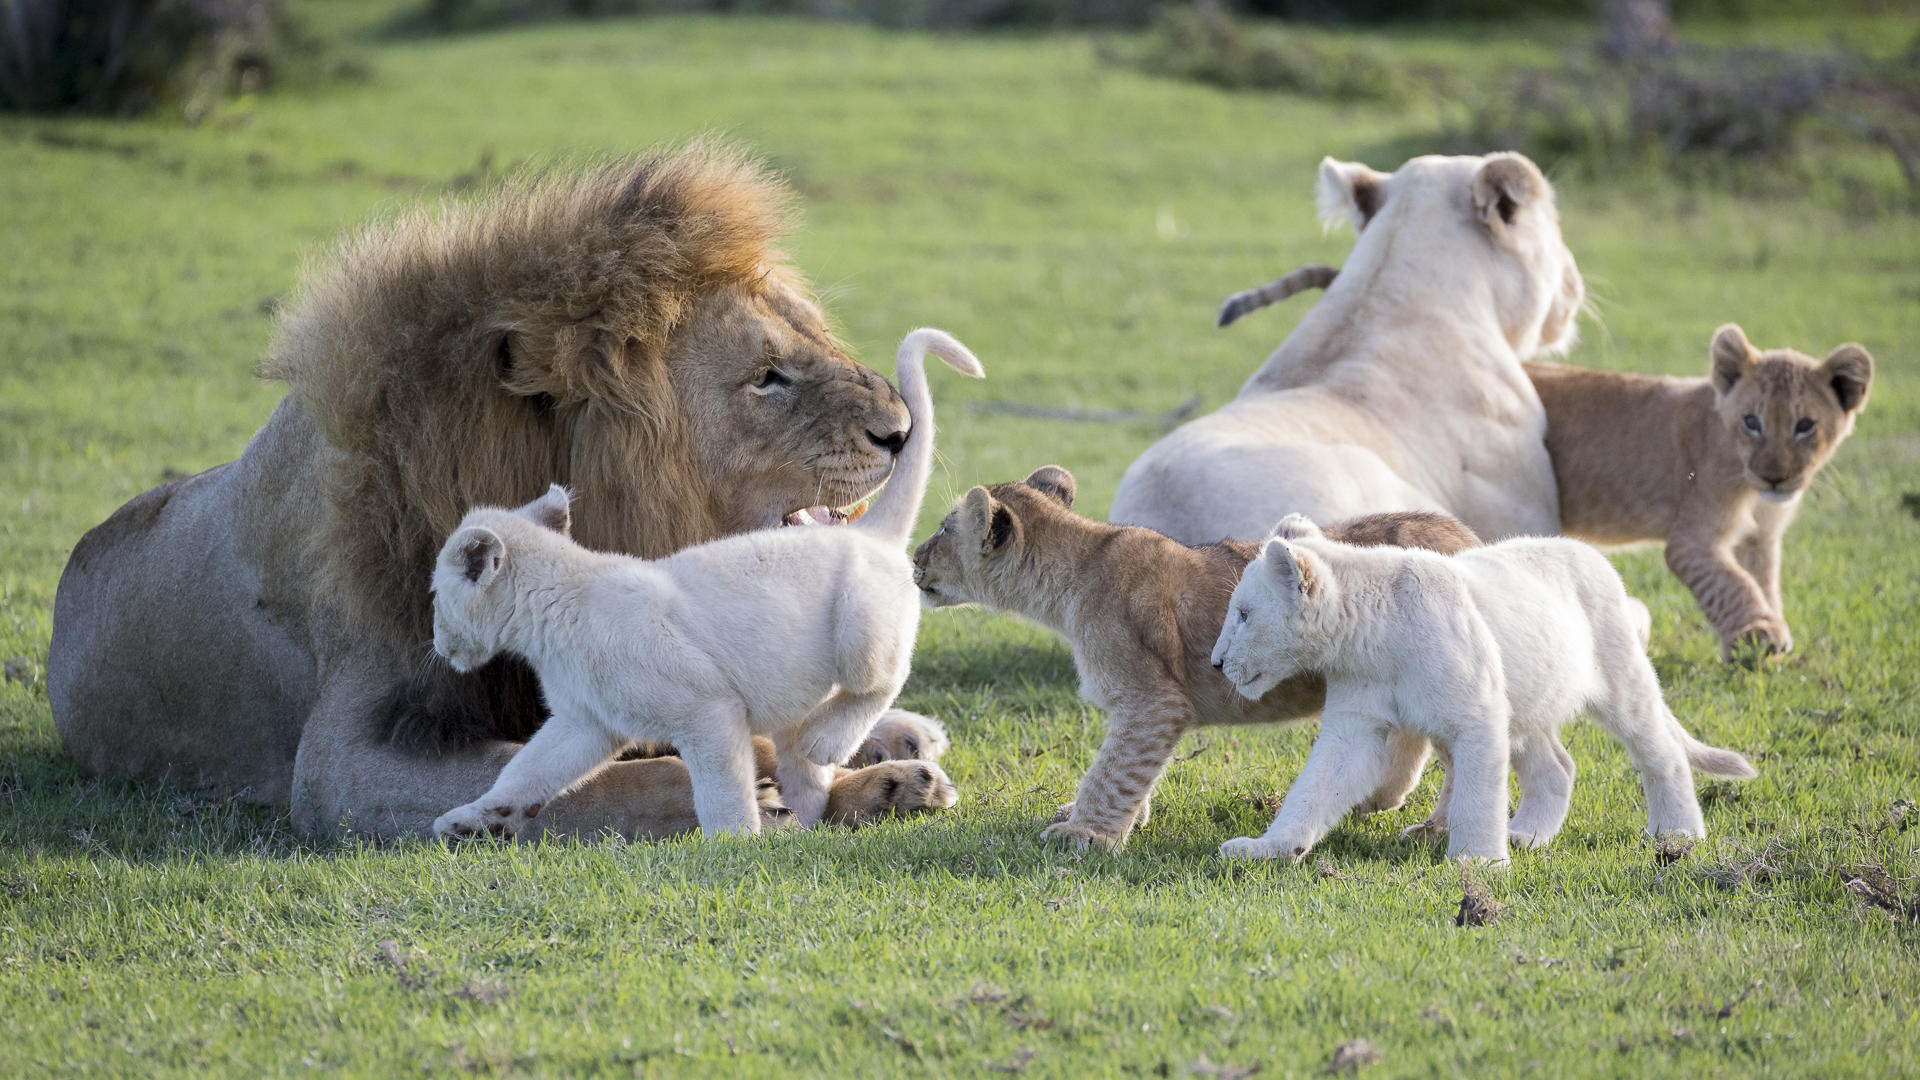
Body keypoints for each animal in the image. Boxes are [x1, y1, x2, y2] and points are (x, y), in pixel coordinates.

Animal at [48, 143, 960, 839]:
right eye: (767, 376)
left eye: (811, 336)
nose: (902, 429)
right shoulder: (341, 764)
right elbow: (590, 778)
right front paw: (778, 787)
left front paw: (878, 779)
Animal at [912, 465, 1481, 853]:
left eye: (942, 529)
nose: (912, 558)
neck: (1072, 576)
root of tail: (1469, 534)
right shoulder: (1144, 709)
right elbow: (1130, 766)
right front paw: (1115, 818)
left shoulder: (1154, 700)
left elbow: (1112, 770)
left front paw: (1084, 833)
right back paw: (1381, 798)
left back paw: (1435, 830)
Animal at [1527, 324, 1873, 660]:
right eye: (1751, 422)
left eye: (1804, 426)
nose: (1773, 478)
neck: (1751, 489)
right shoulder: (1690, 539)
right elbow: (1730, 583)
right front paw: (1759, 634)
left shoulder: (1760, 537)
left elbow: (1762, 581)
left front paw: (1759, 641)